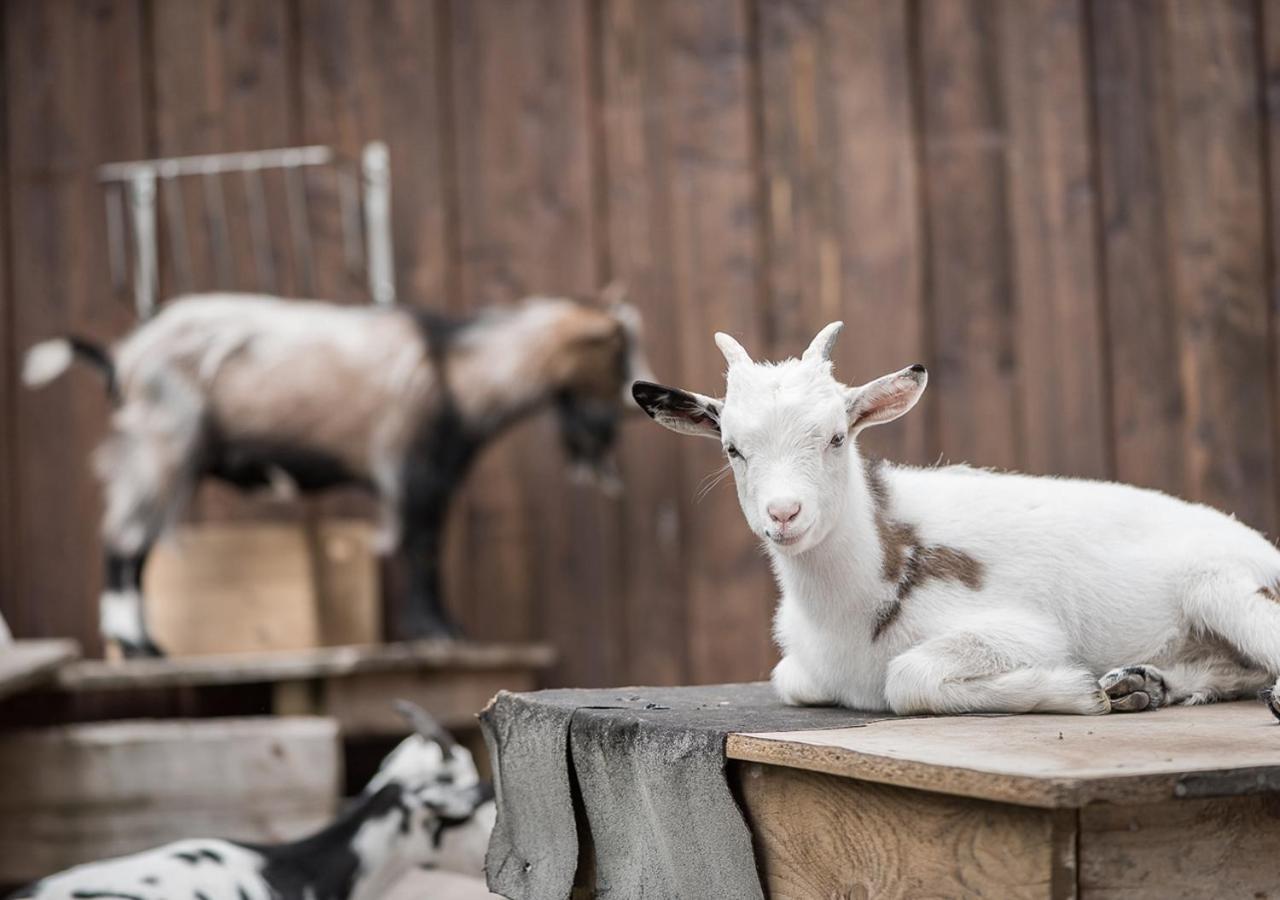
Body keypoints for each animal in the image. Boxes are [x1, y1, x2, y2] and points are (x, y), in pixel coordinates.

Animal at [22, 291, 650, 660]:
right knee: (124, 540)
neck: (456, 369)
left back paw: (145, 642)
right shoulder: (416, 471)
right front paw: (439, 633)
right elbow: (422, 548)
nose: (633, 401)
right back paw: (138, 645)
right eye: (618, 353)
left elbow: (425, 547)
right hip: (164, 443)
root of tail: (122, 359)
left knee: (136, 545)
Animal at [637, 320, 1280, 722]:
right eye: (732, 449)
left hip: (1223, 586)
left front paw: (1077, 690)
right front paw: (1117, 691)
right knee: (1235, 671)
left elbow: (907, 679)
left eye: (837, 437)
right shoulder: (801, 671)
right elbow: (789, 679)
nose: (784, 513)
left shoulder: (1028, 630)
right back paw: (1146, 684)